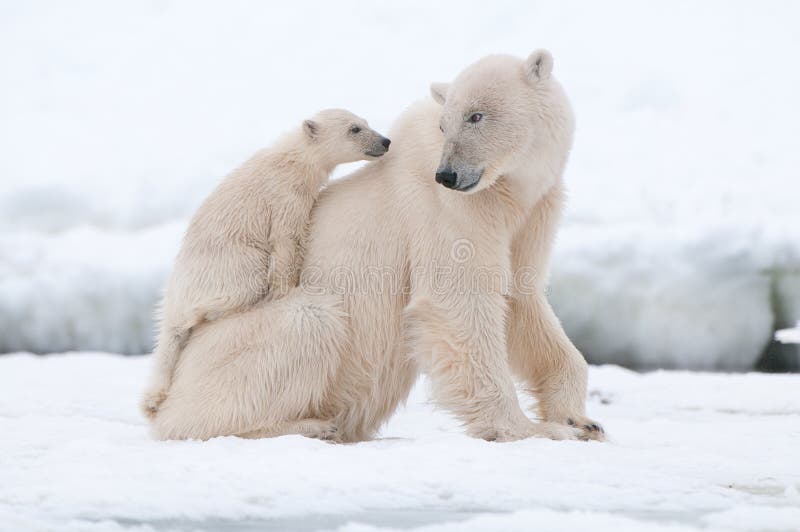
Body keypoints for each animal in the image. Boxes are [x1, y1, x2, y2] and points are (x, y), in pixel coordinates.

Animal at [152, 51, 600, 440]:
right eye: (445, 124)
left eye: (476, 115)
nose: (448, 174)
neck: (507, 191)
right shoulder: (448, 211)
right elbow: (458, 301)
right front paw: (534, 429)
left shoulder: (531, 213)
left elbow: (522, 299)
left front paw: (580, 419)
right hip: (236, 345)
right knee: (308, 321)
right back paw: (309, 425)